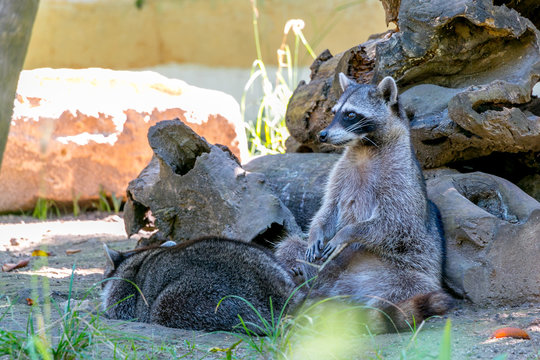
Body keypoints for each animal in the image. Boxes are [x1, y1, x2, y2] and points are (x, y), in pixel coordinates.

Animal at [276, 74, 450, 334]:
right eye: (334, 112)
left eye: (350, 114)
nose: (322, 135)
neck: (364, 147)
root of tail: (338, 289)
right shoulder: (340, 172)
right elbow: (328, 209)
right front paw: (316, 233)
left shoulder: (400, 177)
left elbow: (394, 223)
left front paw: (348, 232)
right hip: (327, 268)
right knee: (289, 246)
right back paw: (296, 276)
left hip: (407, 275)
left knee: (406, 287)